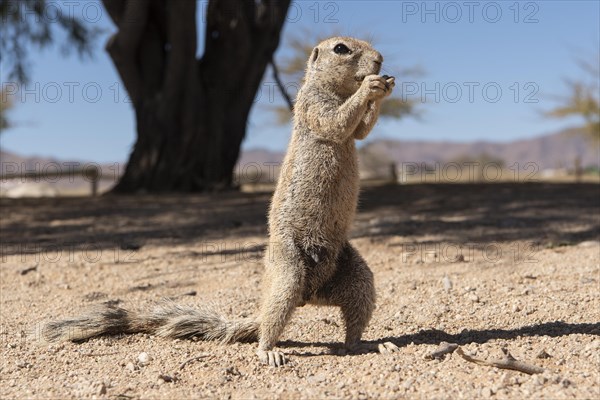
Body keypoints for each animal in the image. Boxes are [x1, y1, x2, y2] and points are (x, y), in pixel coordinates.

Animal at [41, 36, 398, 366]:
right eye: (341, 48)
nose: (380, 60)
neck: (335, 88)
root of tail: (309, 296)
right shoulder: (312, 105)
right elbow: (336, 122)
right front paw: (371, 86)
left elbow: (359, 131)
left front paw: (385, 87)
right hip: (288, 270)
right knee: (273, 321)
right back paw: (268, 350)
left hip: (358, 278)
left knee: (351, 329)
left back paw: (371, 345)